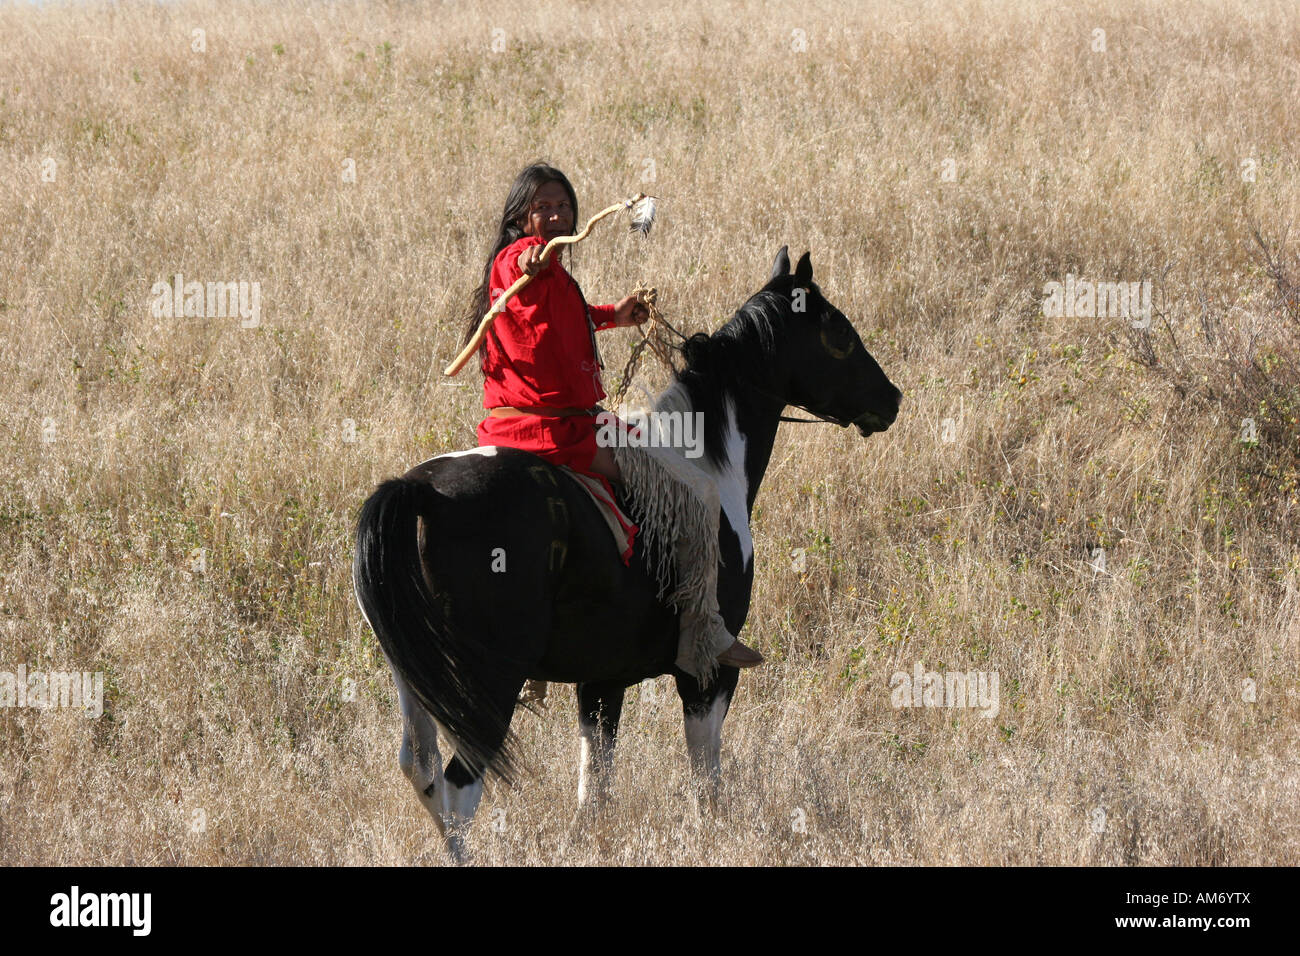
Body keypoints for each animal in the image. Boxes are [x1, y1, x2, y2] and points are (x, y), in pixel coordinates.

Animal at [356, 247, 904, 858]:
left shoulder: (601, 682)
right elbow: (705, 771)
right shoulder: (708, 672)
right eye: (838, 334)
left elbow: (595, 785)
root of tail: (417, 491)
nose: (891, 399)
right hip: (487, 686)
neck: (705, 458)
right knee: (458, 786)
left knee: (423, 770)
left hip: (417, 680)